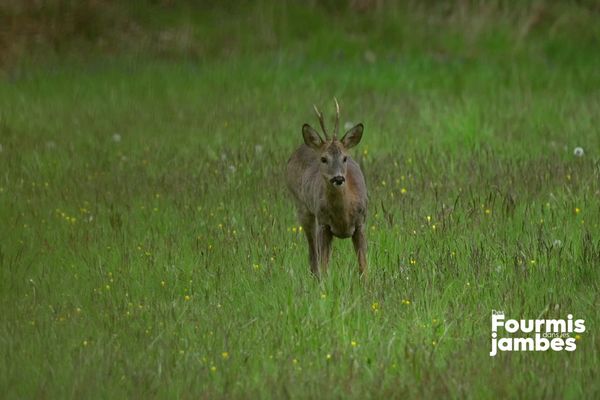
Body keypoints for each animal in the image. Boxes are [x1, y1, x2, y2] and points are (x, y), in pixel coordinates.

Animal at [288, 98, 368, 276]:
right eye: (324, 159)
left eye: (345, 158)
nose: (338, 178)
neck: (343, 217)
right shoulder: (324, 224)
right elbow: (324, 266)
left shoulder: (360, 223)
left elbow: (363, 267)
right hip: (303, 209)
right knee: (313, 256)